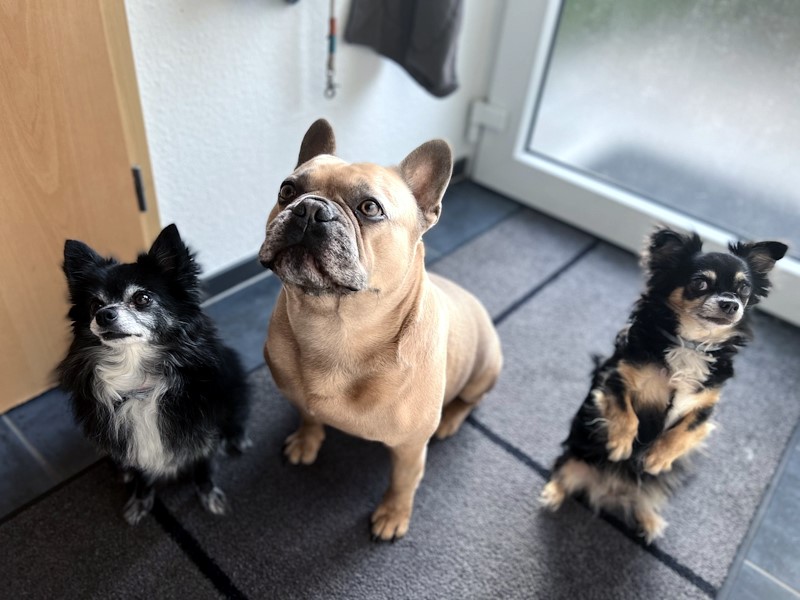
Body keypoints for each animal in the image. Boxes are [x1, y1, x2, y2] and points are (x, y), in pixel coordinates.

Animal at [59, 223, 250, 524]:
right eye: (94, 305)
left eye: (142, 298)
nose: (104, 314)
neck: (138, 379)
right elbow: (141, 475)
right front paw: (140, 499)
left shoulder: (203, 430)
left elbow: (204, 466)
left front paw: (209, 495)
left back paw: (237, 439)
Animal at [536, 226, 788, 544]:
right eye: (699, 283)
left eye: (744, 290)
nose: (731, 303)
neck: (691, 343)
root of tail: (611, 489)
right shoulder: (613, 376)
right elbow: (626, 412)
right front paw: (620, 444)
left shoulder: (705, 409)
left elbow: (683, 432)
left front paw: (657, 457)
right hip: (575, 456)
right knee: (563, 472)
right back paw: (552, 493)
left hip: (655, 486)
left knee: (641, 500)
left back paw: (650, 521)